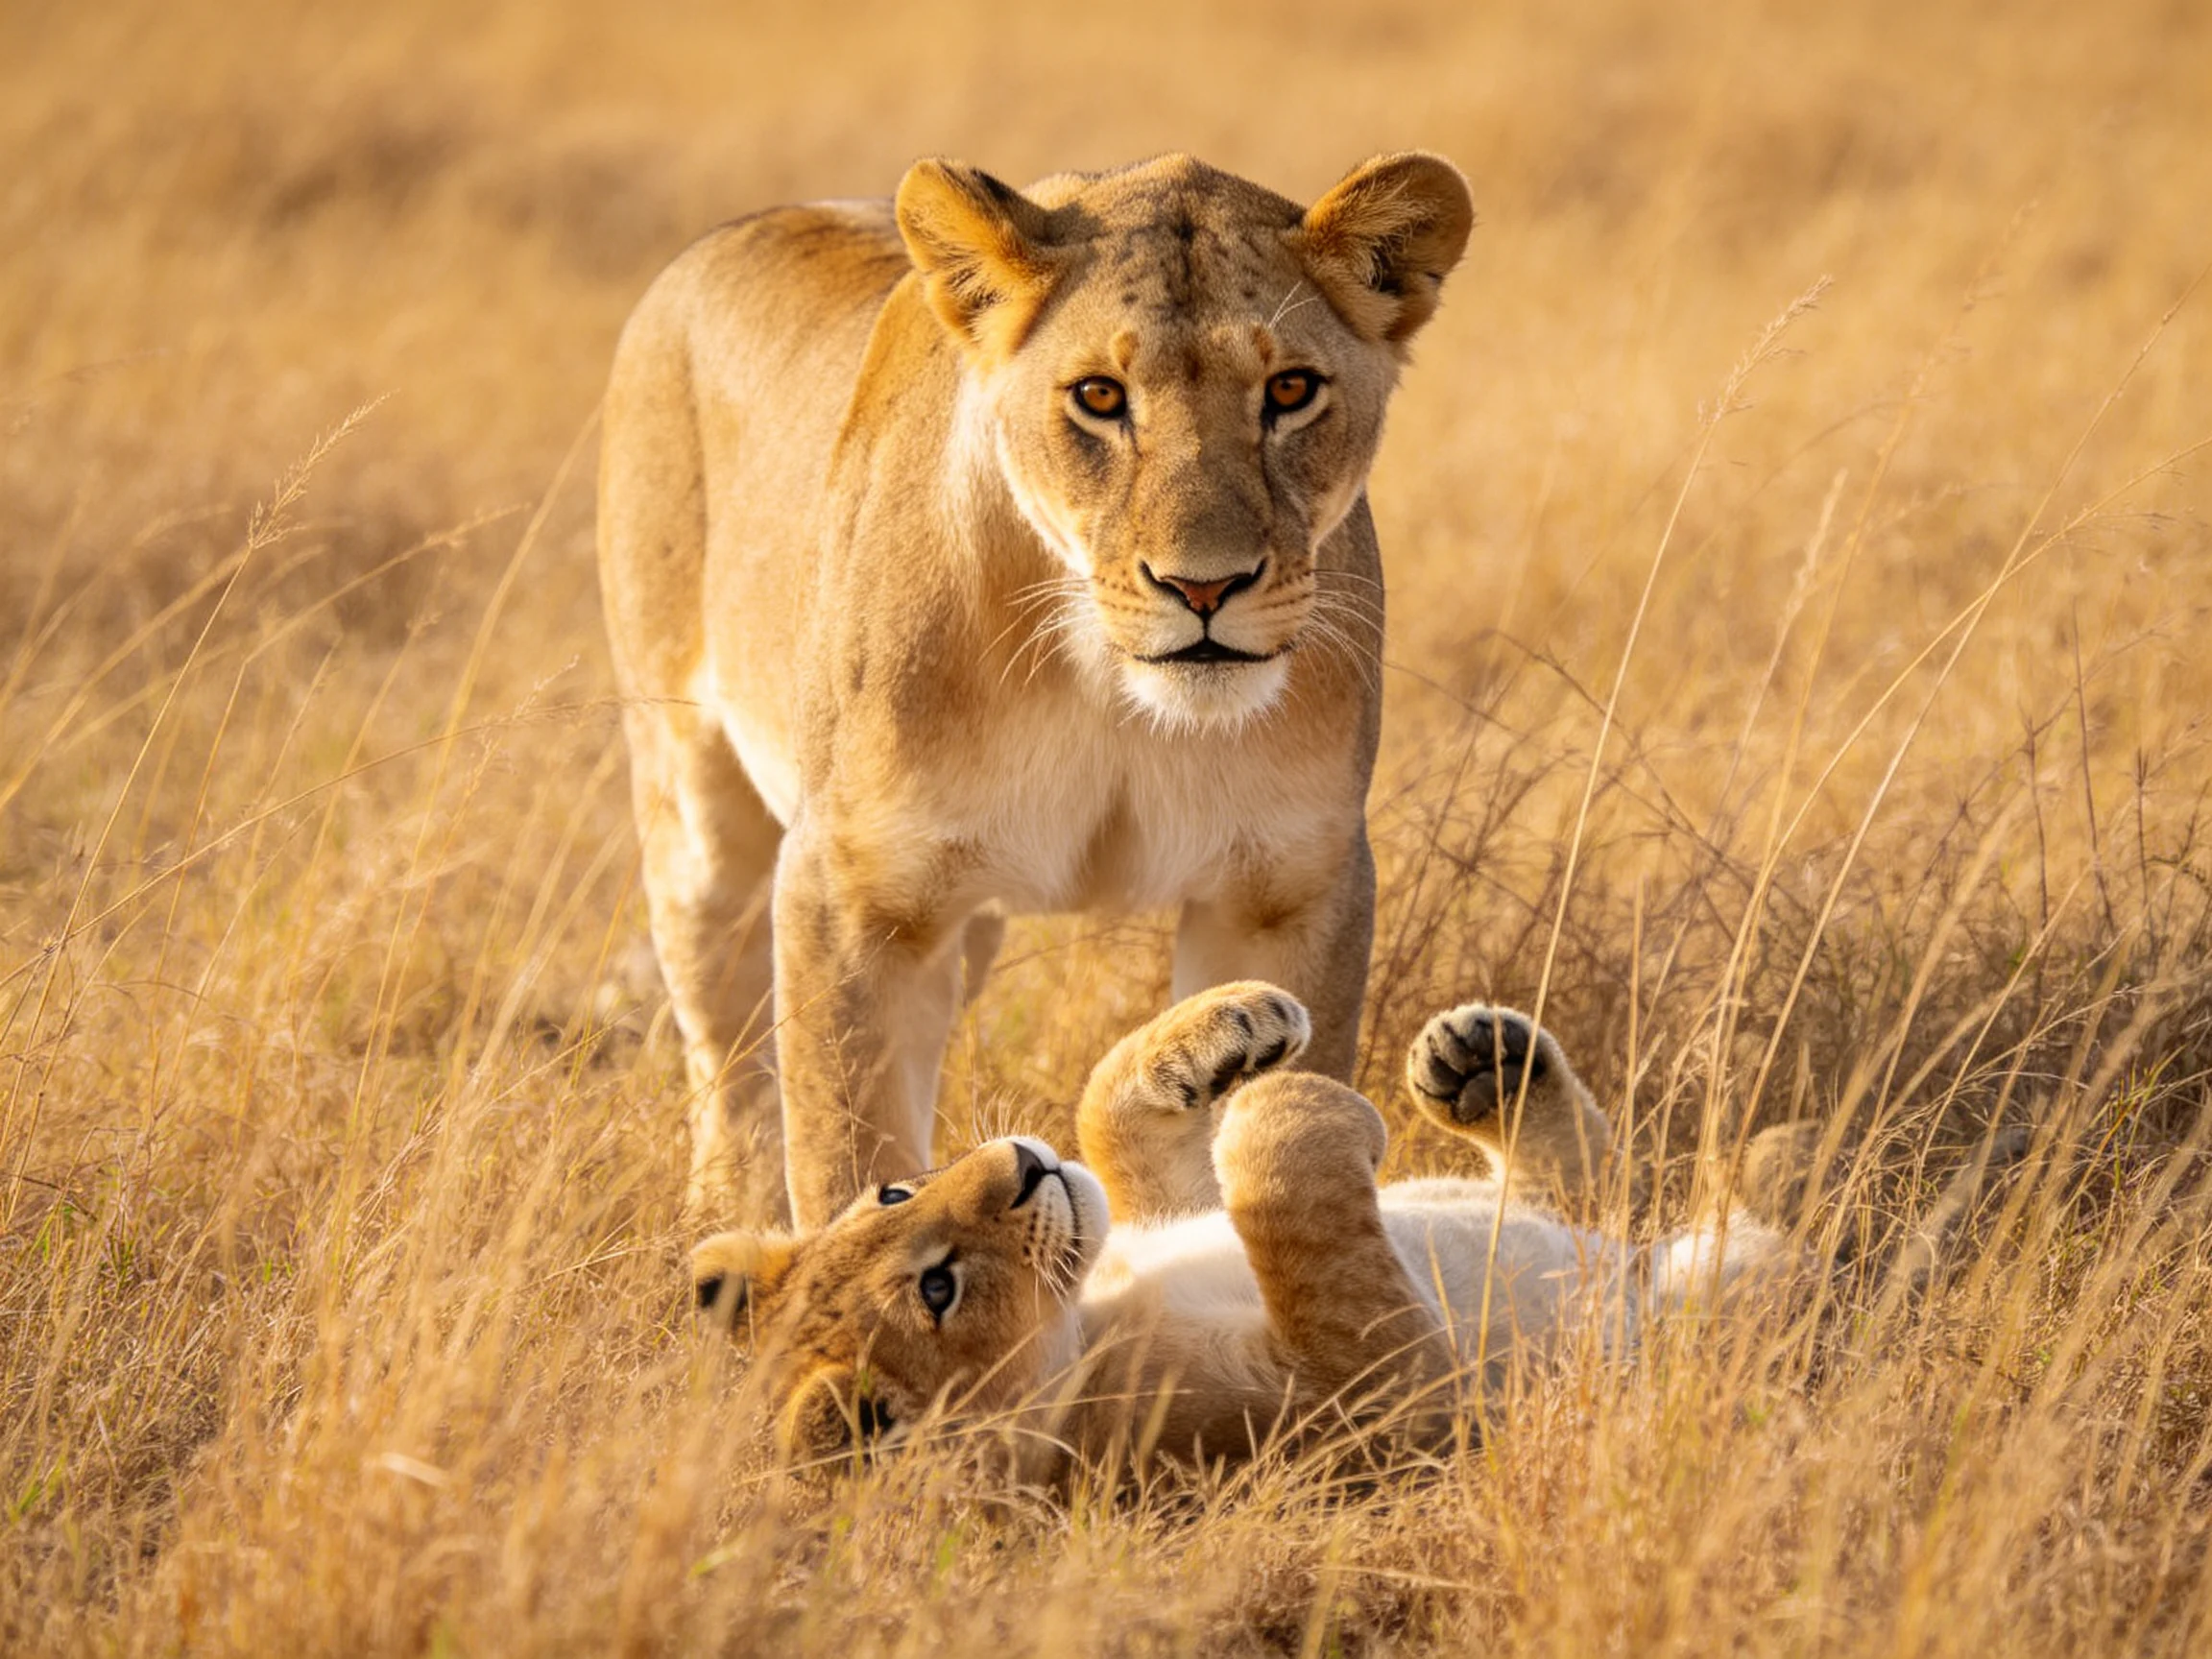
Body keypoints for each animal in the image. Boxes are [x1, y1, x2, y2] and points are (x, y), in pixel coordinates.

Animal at [598, 152, 1475, 1226]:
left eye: (1291, 389)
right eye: (1099, 395)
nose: (1205, 587)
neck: (1103, 685)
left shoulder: (1287, 886)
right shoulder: (852, 889)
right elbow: (843, 1150)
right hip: (696, 813)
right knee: (724, 1044)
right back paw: (725, 1207)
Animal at [691, 984, 2029, 1483]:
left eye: (888, 1196)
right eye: (939, 1291)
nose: (1017, 1168)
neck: (1095, 1312)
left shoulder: (1147, 1208)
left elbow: (1109, 1103)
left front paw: (1232, 1030)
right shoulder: (1369, 1410)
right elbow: (1299, 1203)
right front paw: (1298, 1102)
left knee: (1588, 1189)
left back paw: (1480, 1061)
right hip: (1765, 1324)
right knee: (1822, 1245)